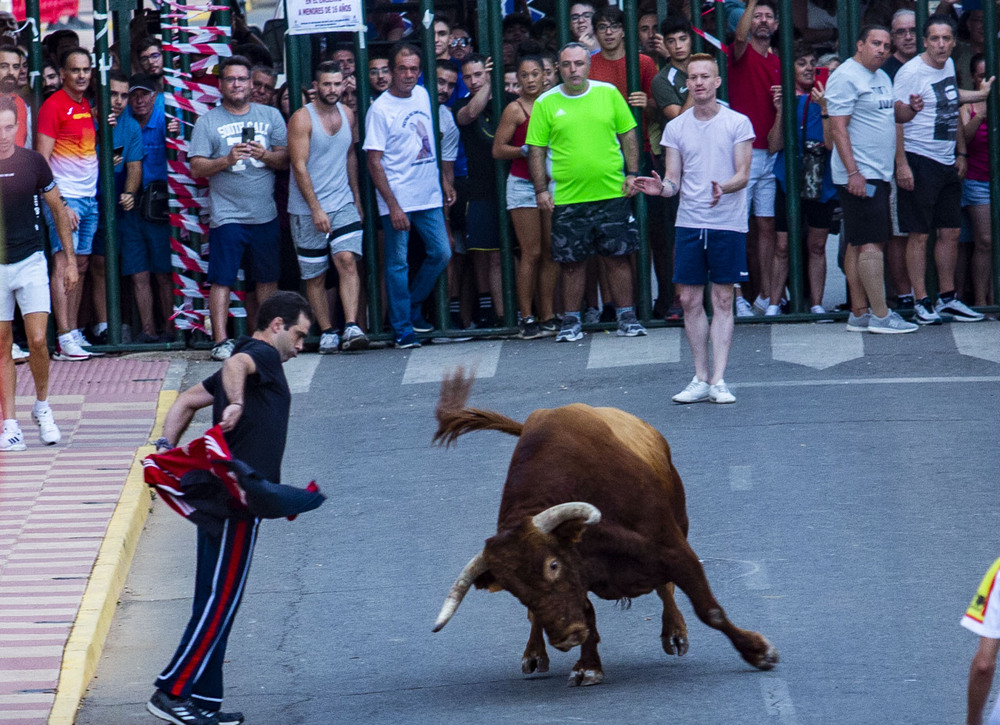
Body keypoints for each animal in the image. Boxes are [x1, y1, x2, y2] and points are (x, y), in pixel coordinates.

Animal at [434, 368, 776, 684]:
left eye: (553, 565)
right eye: (512, 587)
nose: (565, 636)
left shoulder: (675, 550)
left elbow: (709, 610)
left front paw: (758, 652)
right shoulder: (581, 576)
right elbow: (585, 613)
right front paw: (587, 665)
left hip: (681, 520)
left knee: (666, 589)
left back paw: (675, 632)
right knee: (538, 618)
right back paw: (534, 652)